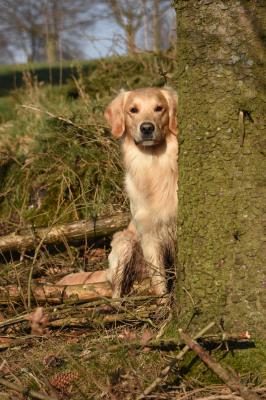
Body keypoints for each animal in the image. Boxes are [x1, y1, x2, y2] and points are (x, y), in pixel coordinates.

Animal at [105, 88, 178, 300]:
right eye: (133, 110)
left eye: (159, 108)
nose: (147, 128)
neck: (153, 164)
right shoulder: (148, 235)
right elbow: (159, 281)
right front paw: (164, 306)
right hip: (125, 243)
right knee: (116, 291)